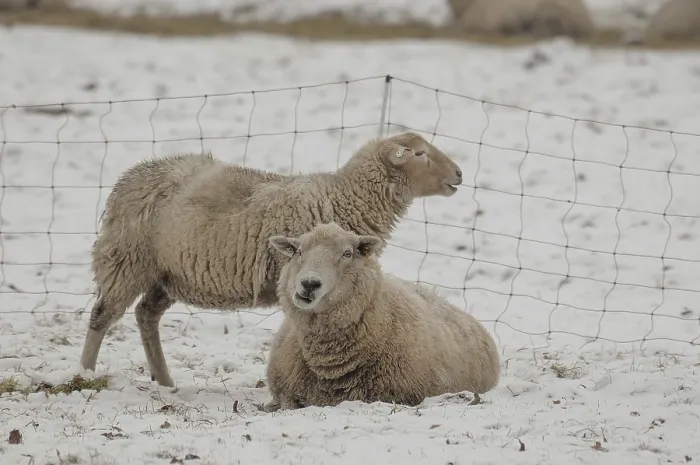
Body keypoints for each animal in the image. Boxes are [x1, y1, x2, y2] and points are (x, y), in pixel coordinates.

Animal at [79, 131, 464, 388]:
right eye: (419, 153)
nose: (459, 174)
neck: (344, 196)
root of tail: (131, 176)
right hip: (127, 259)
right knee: (102, 315)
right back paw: (84, 373)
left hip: (169, 274)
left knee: (146, 315)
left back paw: (165, 381)